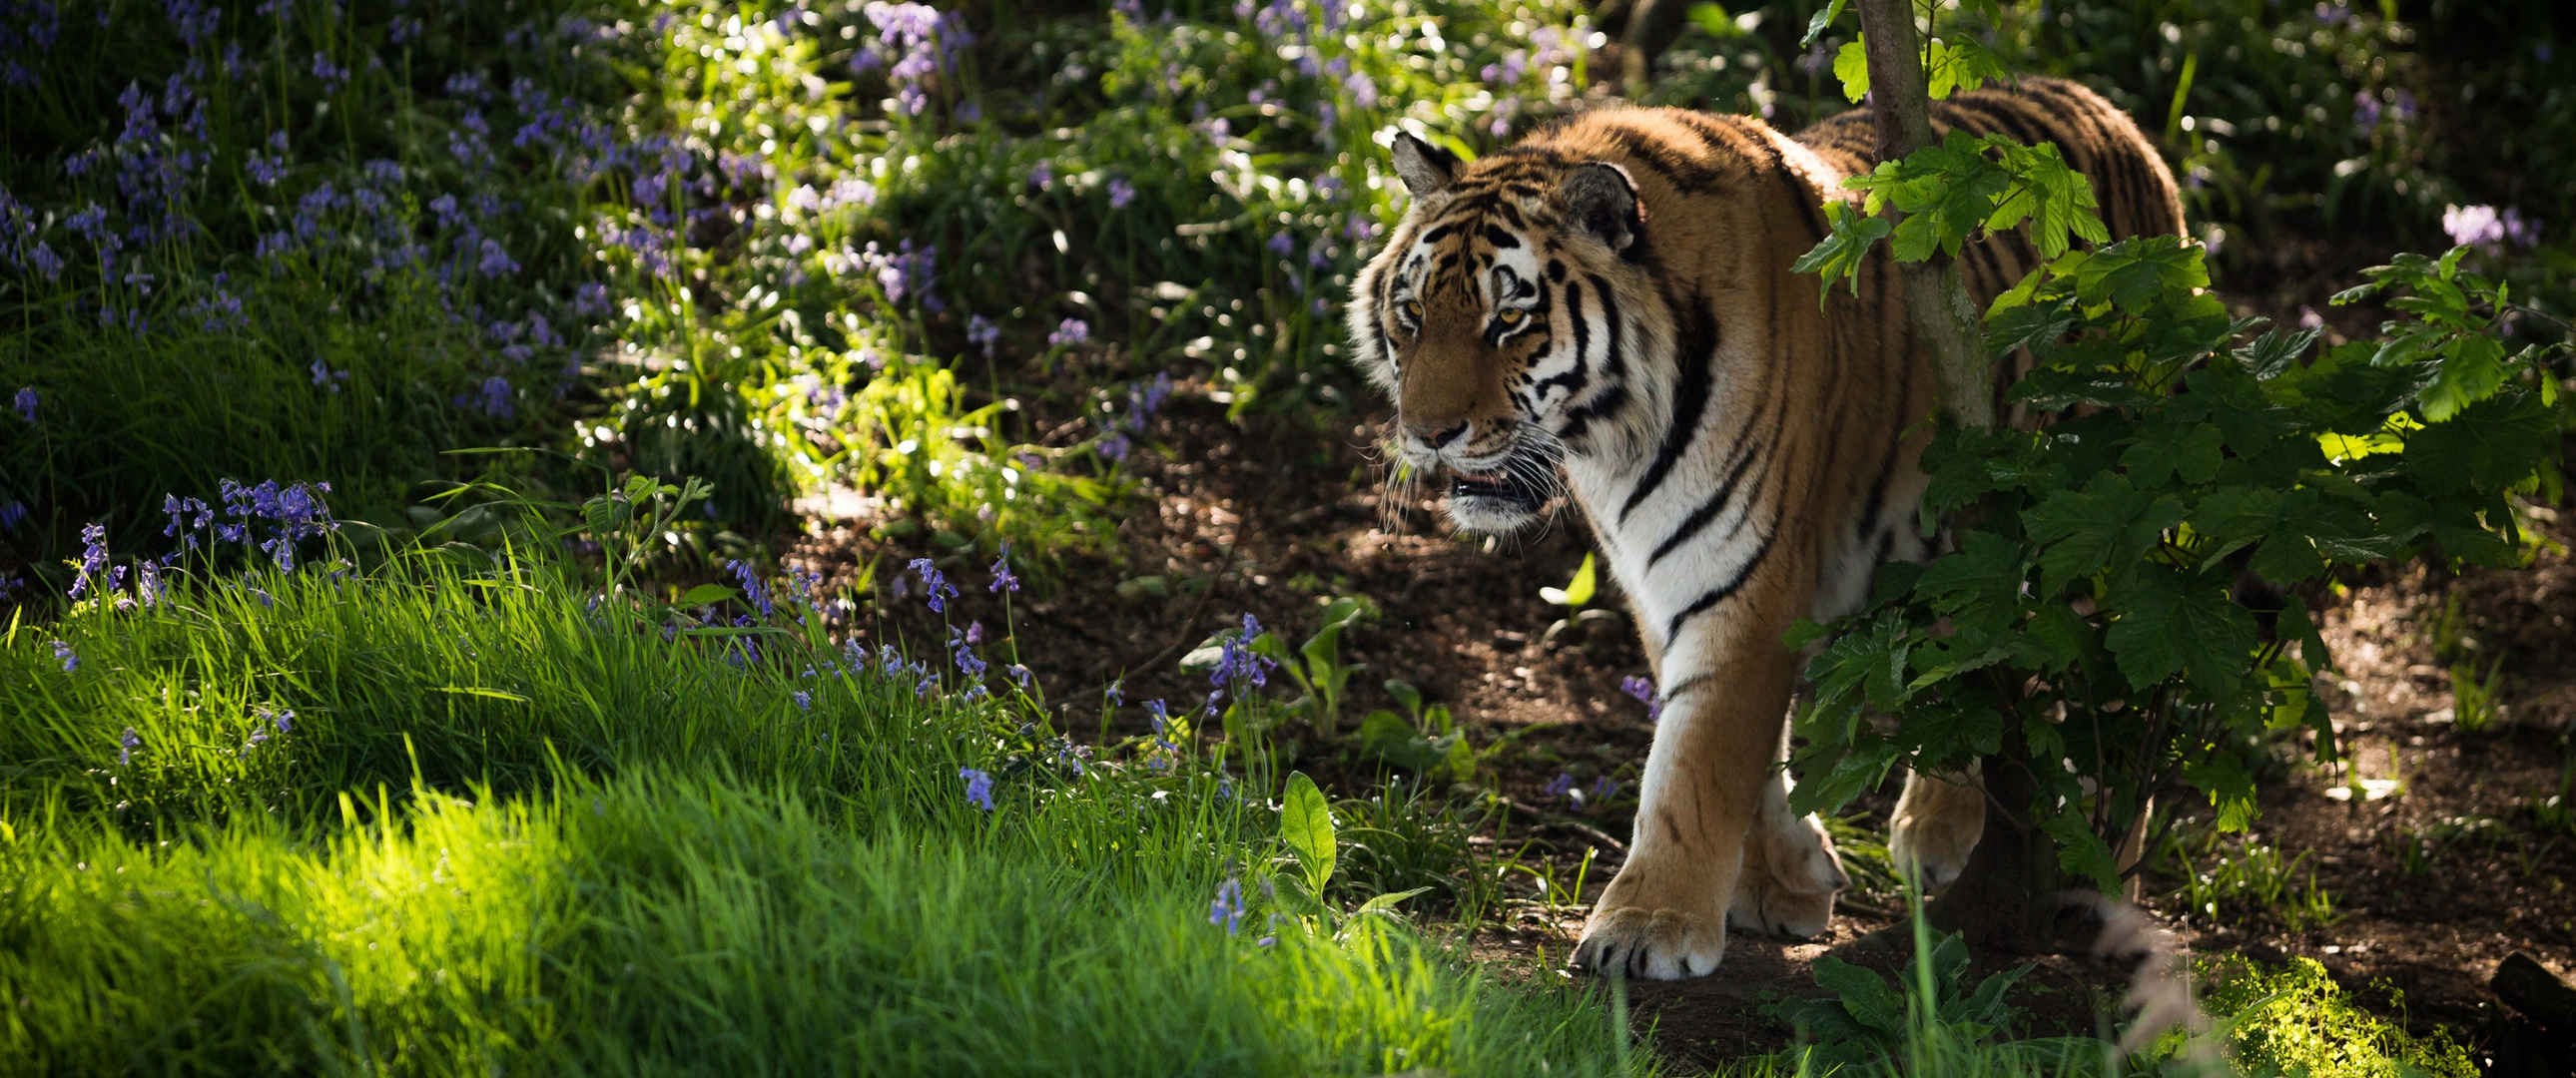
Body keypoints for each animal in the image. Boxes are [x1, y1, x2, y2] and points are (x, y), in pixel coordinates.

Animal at [1349, 76, 2174, 982]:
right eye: (1412, 314)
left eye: (1509, 321)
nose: (1427, 433)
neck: (1611, 439)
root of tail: (2108, 109)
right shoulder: (1664, 577)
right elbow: (1740, 746)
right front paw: (1782, 883)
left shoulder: (1742, 568)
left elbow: (1698, 759)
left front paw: (1649, 926)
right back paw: (1940, 833)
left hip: (2102, 526)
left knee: (2120, 708)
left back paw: (2103, 887)